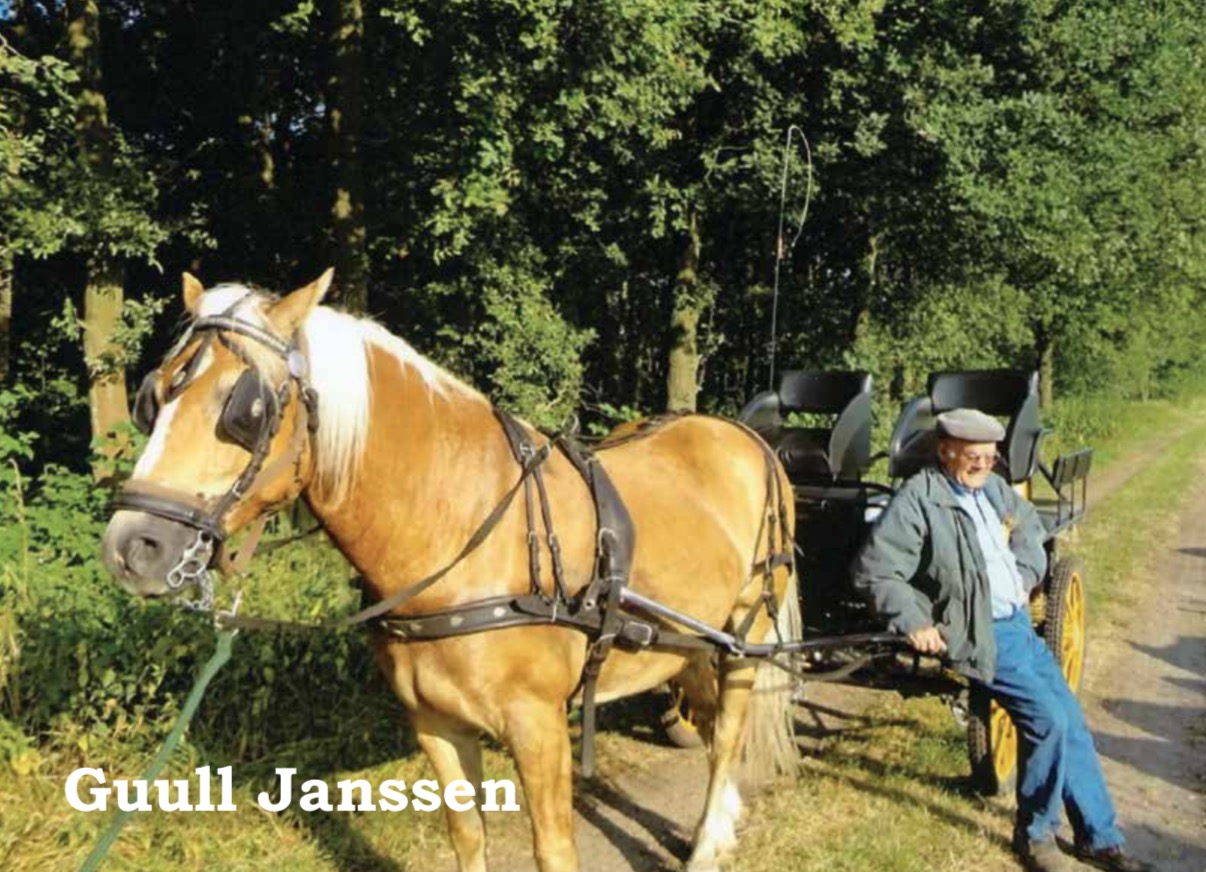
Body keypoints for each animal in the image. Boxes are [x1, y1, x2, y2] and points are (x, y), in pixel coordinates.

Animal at [101, 271, 800, 872]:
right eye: (154, 395)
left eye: (243, 409)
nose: (132, 547)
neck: (459, 529)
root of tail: (747, 437)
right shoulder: (433, 721)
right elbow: (466, 835)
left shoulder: (539, 724)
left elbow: (554, 849)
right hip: (690, 640)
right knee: (707, 718)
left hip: (749, 628)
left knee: (729, 732)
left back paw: (708, 844)